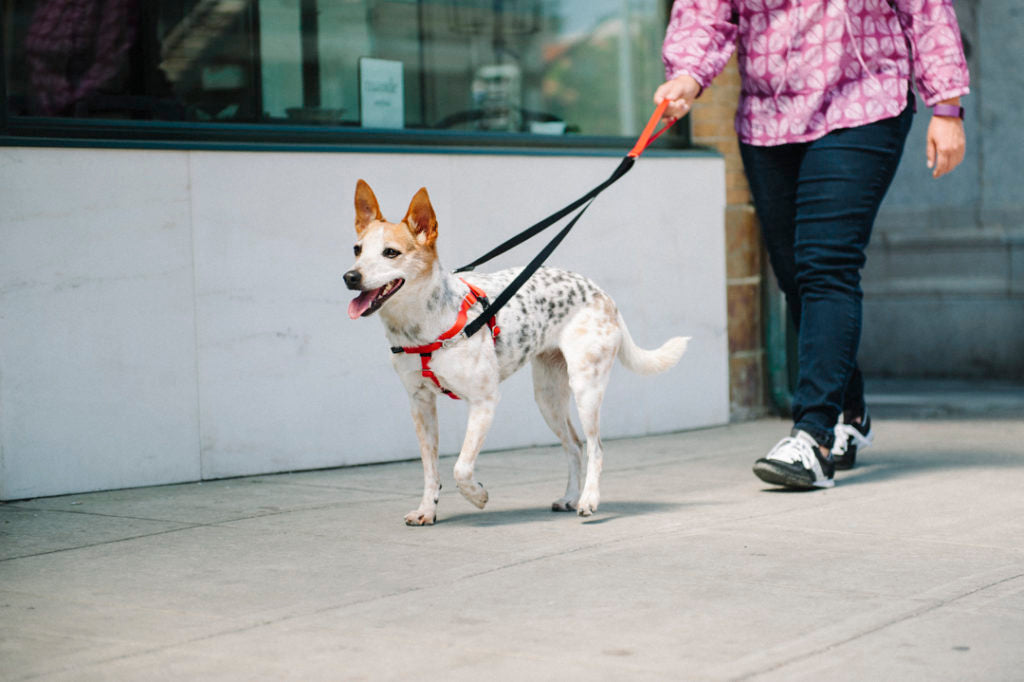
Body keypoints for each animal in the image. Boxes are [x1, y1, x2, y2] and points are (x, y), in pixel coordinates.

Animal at [344, 178, 688, 522]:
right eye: (357, 250)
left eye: (391, 252)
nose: (350, 277)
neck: (423, 322)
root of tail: (600, 292)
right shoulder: (420, 404)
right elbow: (431, 469)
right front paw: (427, 510)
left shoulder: (484, 401)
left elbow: (461, 468)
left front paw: (478, 495)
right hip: (548, 397)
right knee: (575, 445)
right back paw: (570, 497)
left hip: (585, 389)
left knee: (595, 447)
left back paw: (588, 500)